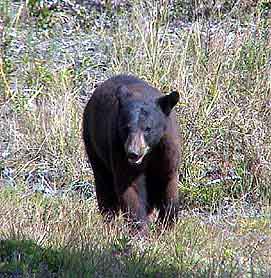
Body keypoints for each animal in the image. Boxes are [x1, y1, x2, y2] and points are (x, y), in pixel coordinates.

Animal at [83, 74, 181, 230]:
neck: (150, 153)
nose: (133, 153)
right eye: (126, 127)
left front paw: (167, 224)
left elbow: (168, 181)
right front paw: (140, 229)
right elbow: (130, 187)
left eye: (148, 128)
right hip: (93, 143)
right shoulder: (118, 147)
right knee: (104, 184)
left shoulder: (168, 148)